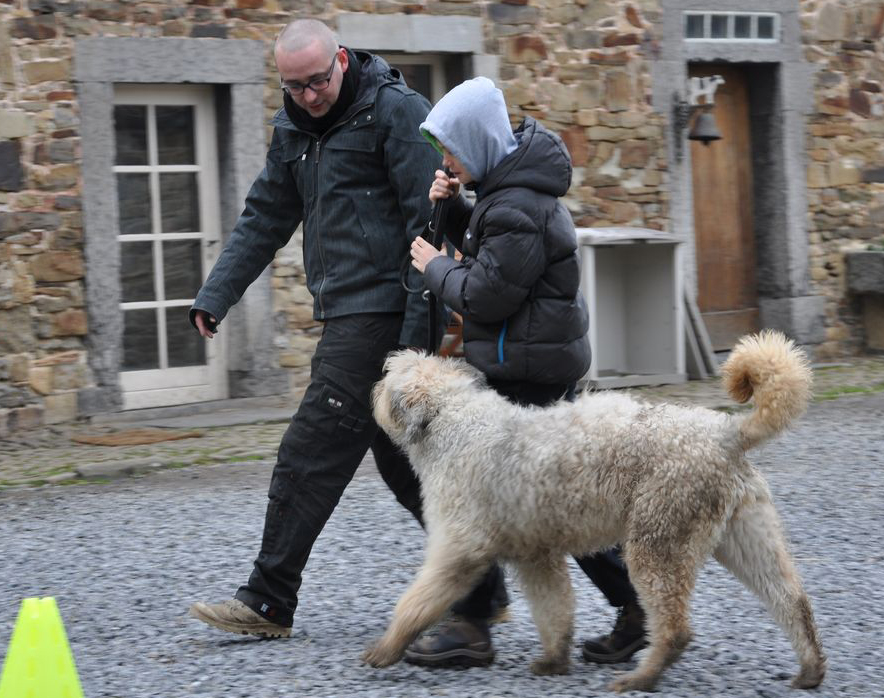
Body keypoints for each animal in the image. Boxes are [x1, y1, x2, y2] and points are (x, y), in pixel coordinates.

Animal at [362, 330, 826, 692]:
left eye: (389, 376)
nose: (373, 389)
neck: (454, 423)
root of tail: (725, 434)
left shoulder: (459, 548)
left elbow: (419, 600)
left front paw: (386, 648)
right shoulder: (537, 555)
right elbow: (554, 608)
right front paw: (554, 660)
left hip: (659, 543)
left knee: (675, 628)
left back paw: (641, 678)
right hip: (747, 538)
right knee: (792, 601)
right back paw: (810, 670)